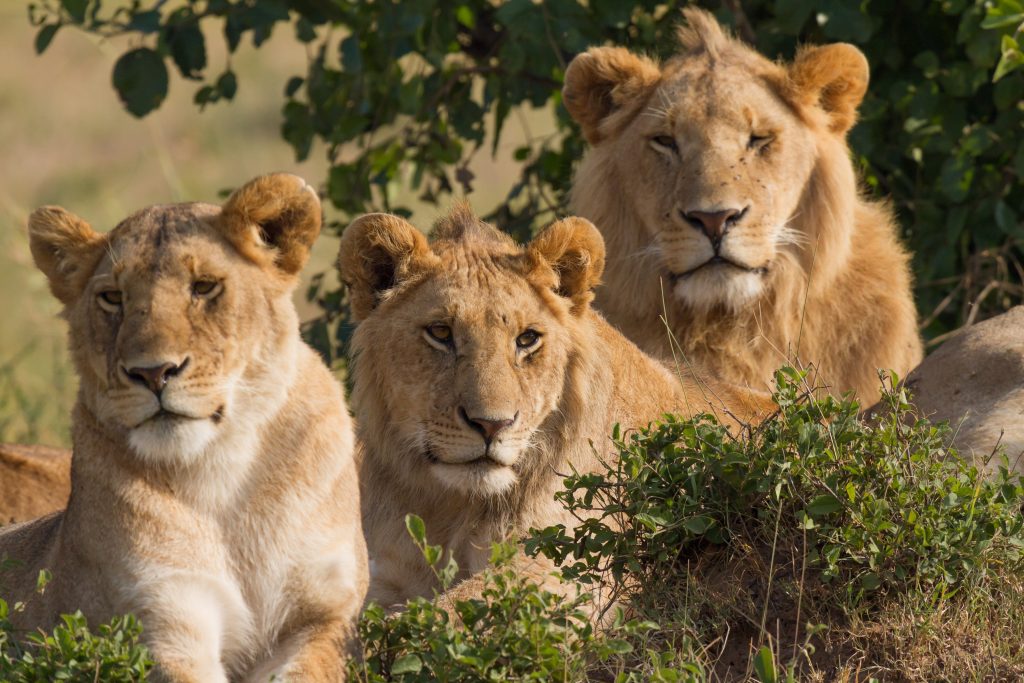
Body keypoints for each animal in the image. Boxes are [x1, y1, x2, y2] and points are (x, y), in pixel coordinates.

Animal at [0, 175, 368, 683]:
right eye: (113, 298)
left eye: (204, 287)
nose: (153, 373)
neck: (224, 476)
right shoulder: (161, 616)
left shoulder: (326, 614)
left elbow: (307, 669)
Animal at [339, 205, 770, 606]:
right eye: (441, 333)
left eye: (527, 339)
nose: (491, 425)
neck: (452, 507)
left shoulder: (572, 566)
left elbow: (445, 613)